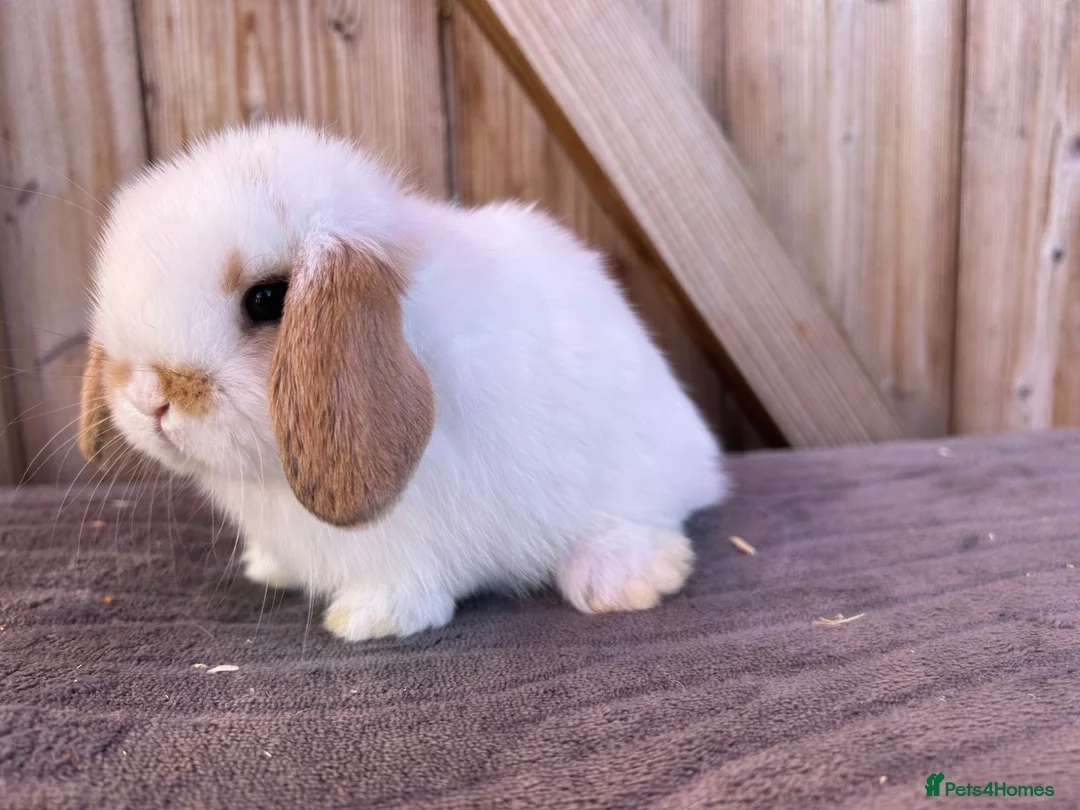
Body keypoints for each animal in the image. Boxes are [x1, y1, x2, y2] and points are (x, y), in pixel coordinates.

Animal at [78, 121, 729, 641]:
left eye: (266, 299)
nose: (148, 399)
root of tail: (701, 456)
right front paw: (268, 566)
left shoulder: (409, 540)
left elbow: (404, 580)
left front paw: (368, 621)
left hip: (631, 480)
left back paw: (621, 578)